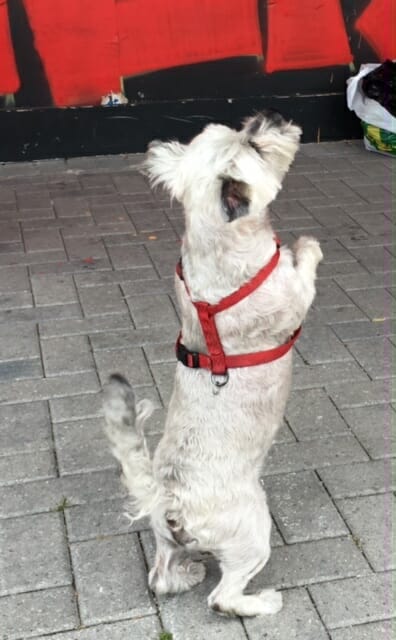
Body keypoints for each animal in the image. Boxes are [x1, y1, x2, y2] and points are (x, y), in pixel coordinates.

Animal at [103, 111, 324, 620]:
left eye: (247, 130)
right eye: (255, 146)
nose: (266, 117)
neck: (216, 241)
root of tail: (167, 497)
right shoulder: (292, 296)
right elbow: (302, 267)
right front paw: (305, 245)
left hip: (168, 542)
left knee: (162, 576)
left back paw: (184, 574)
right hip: (252, 532)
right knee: (223, 598)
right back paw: (262, 601)